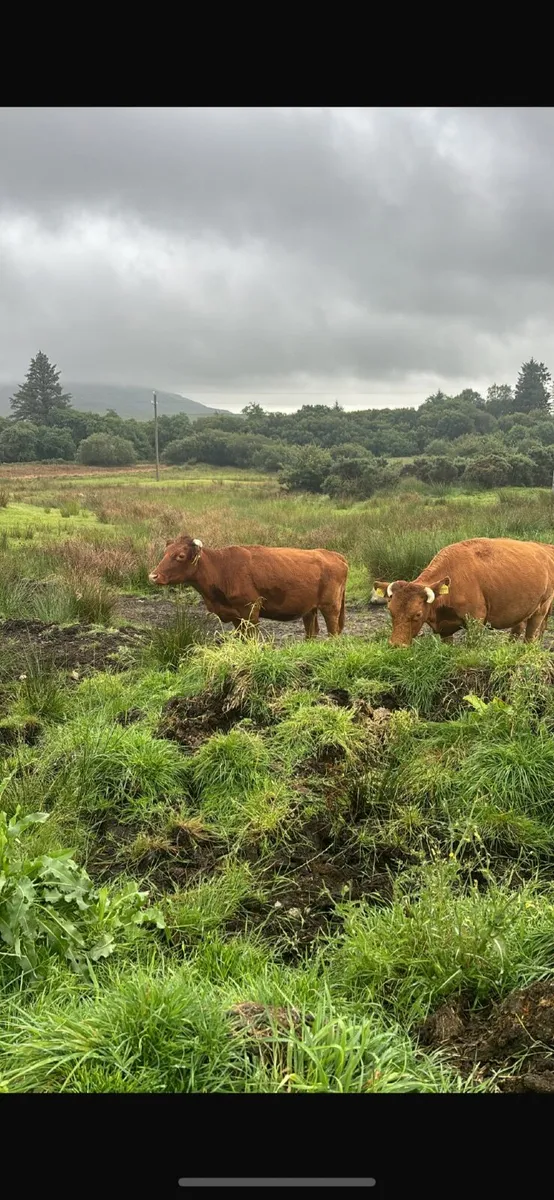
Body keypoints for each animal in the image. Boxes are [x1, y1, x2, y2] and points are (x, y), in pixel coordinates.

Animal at [149, 535, 348, 638]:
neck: (222, 568)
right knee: (311, 632)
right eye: (165, 553)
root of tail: (333, 554)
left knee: (333, 632)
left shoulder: (250, 610)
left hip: (331, 606)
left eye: (180, 556)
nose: (153, 576)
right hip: (309, 609)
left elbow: (251, 638)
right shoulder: (236, 617)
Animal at [373, 537, 554, 648]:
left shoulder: (476, 621)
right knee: (517, 629)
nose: (396, 645)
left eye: (417, 614)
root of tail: (544, 548)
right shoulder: (445, 629)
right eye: (390, 611)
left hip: (542, 607)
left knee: (531, 634)